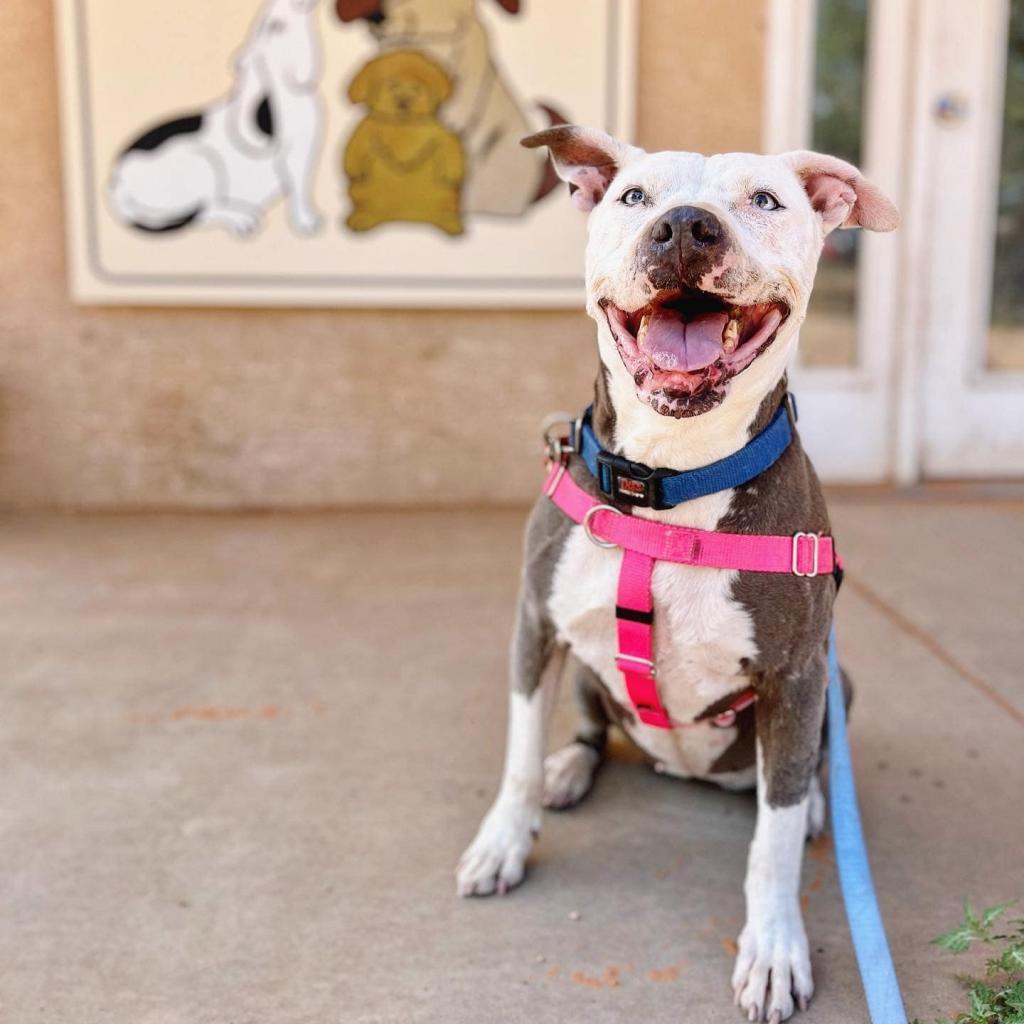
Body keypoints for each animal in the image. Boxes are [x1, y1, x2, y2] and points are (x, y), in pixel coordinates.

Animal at [105, 0, 321, 235]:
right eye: (275, 26)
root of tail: (117, 186)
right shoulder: (297, 158)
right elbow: (300, 191)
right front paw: (307, 223)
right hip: (202, 166)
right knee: (203, 212)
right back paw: (241, 218)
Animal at [348, 50, 468, 234]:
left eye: (416, 88)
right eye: (393, 86)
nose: (403, 102)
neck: (403, 124)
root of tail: (407, 215)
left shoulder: (438, 132)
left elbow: (450, 144)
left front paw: (454, 173)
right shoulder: (365, 129)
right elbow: (355, 146)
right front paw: (354, 171)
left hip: (444, 196)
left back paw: (449, 221)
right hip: (364, 194)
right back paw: (363, 218)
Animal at [456, 123, 897, 1019]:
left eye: (766, 199)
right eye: (635, 196)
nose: (687, 228)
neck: (667, 482)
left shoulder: (797, 676)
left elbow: (772, 840)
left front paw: (774, 948)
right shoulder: (536, 624)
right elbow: (517, 754)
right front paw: (504, 840)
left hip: (837, 684)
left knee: (803, 774)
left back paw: (813, 806)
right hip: (588, 673)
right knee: (590, 726)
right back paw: (570, 768)